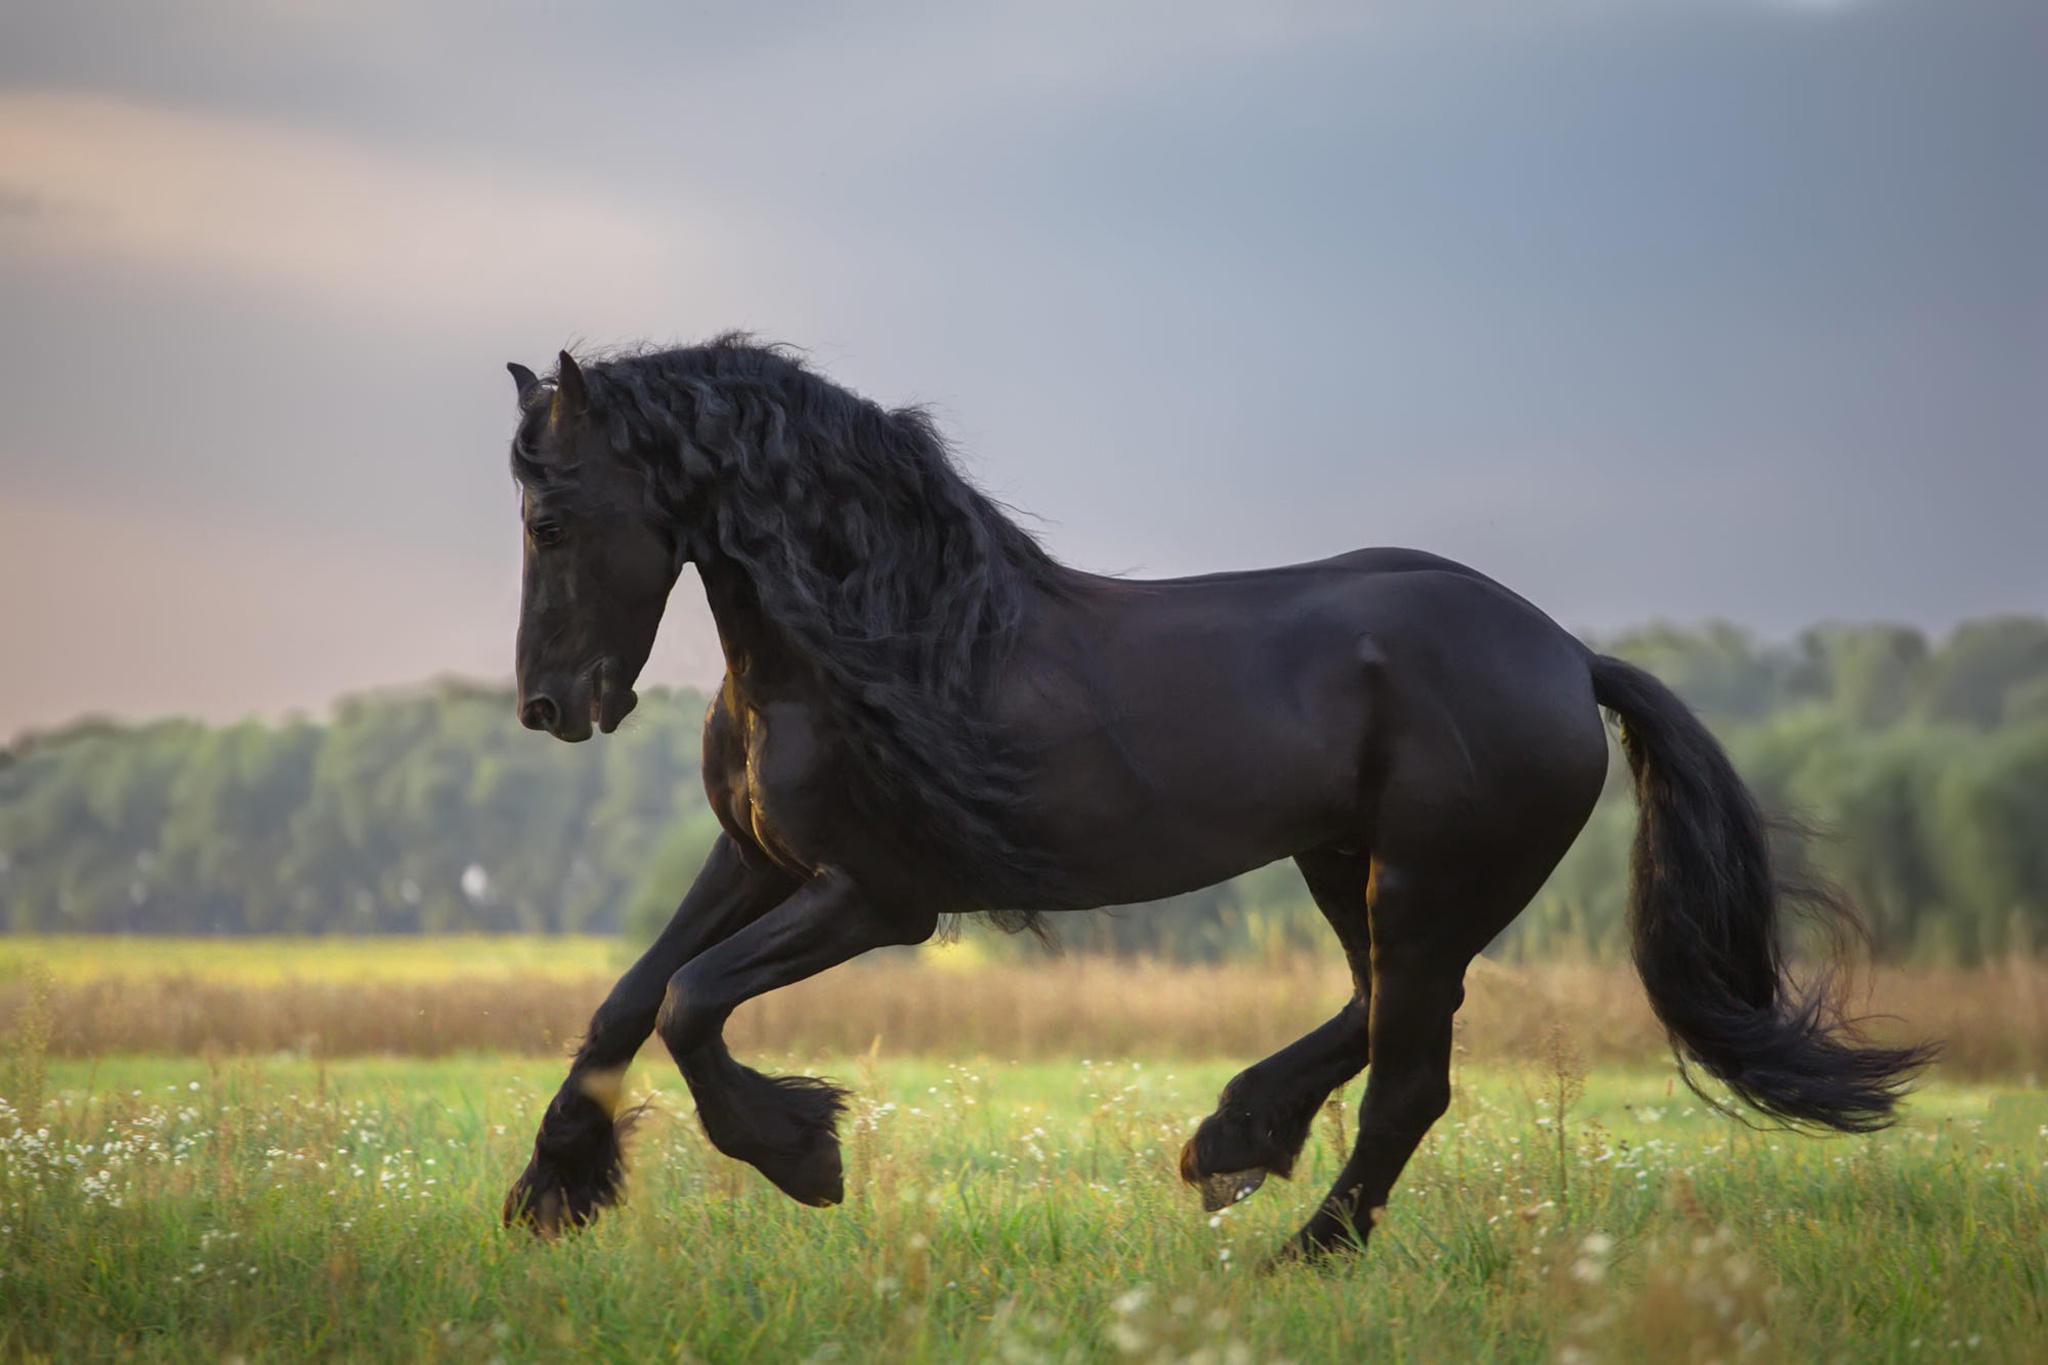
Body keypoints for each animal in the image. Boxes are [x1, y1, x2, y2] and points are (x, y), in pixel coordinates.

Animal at [503, 339, 1925, 1260]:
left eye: (551, 521)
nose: (549, 708)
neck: (866, 640)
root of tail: (1567, 658)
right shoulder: (756, 861)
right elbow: (628, 996)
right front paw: (550, 1191)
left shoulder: (878, 896)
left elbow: (690, 1001)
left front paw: (801, 1153)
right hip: (1346, 868)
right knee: (1375, 1016)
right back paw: (1233, 1141)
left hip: (1423, 884)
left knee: (1411, 1075)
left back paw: (1302, 1247)